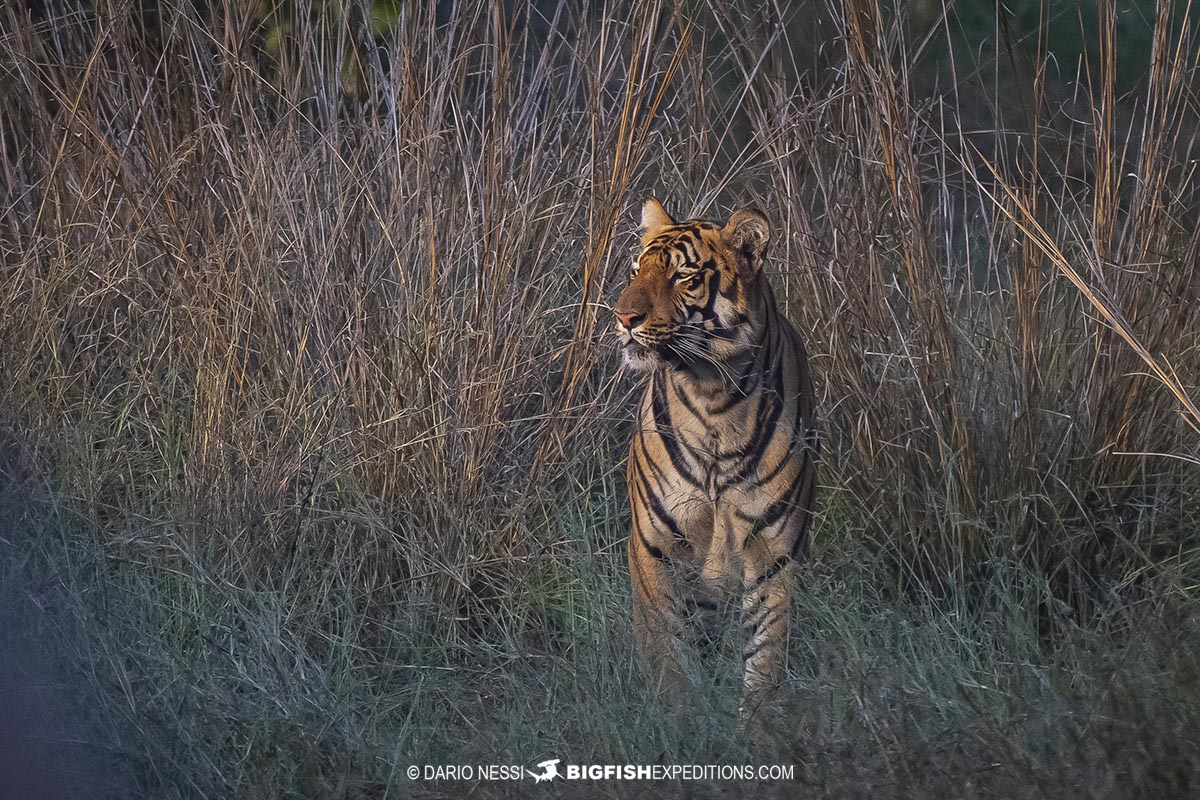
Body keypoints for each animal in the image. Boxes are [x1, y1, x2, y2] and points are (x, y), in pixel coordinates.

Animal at [614, 199, 820, 719]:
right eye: (636, 270)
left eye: (682, 277)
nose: (623, 317)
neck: (714, 399)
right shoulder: (655, 545)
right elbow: (667, 652)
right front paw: (680, 723)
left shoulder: (774, 550)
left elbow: (766, 657)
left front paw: (758, 729)